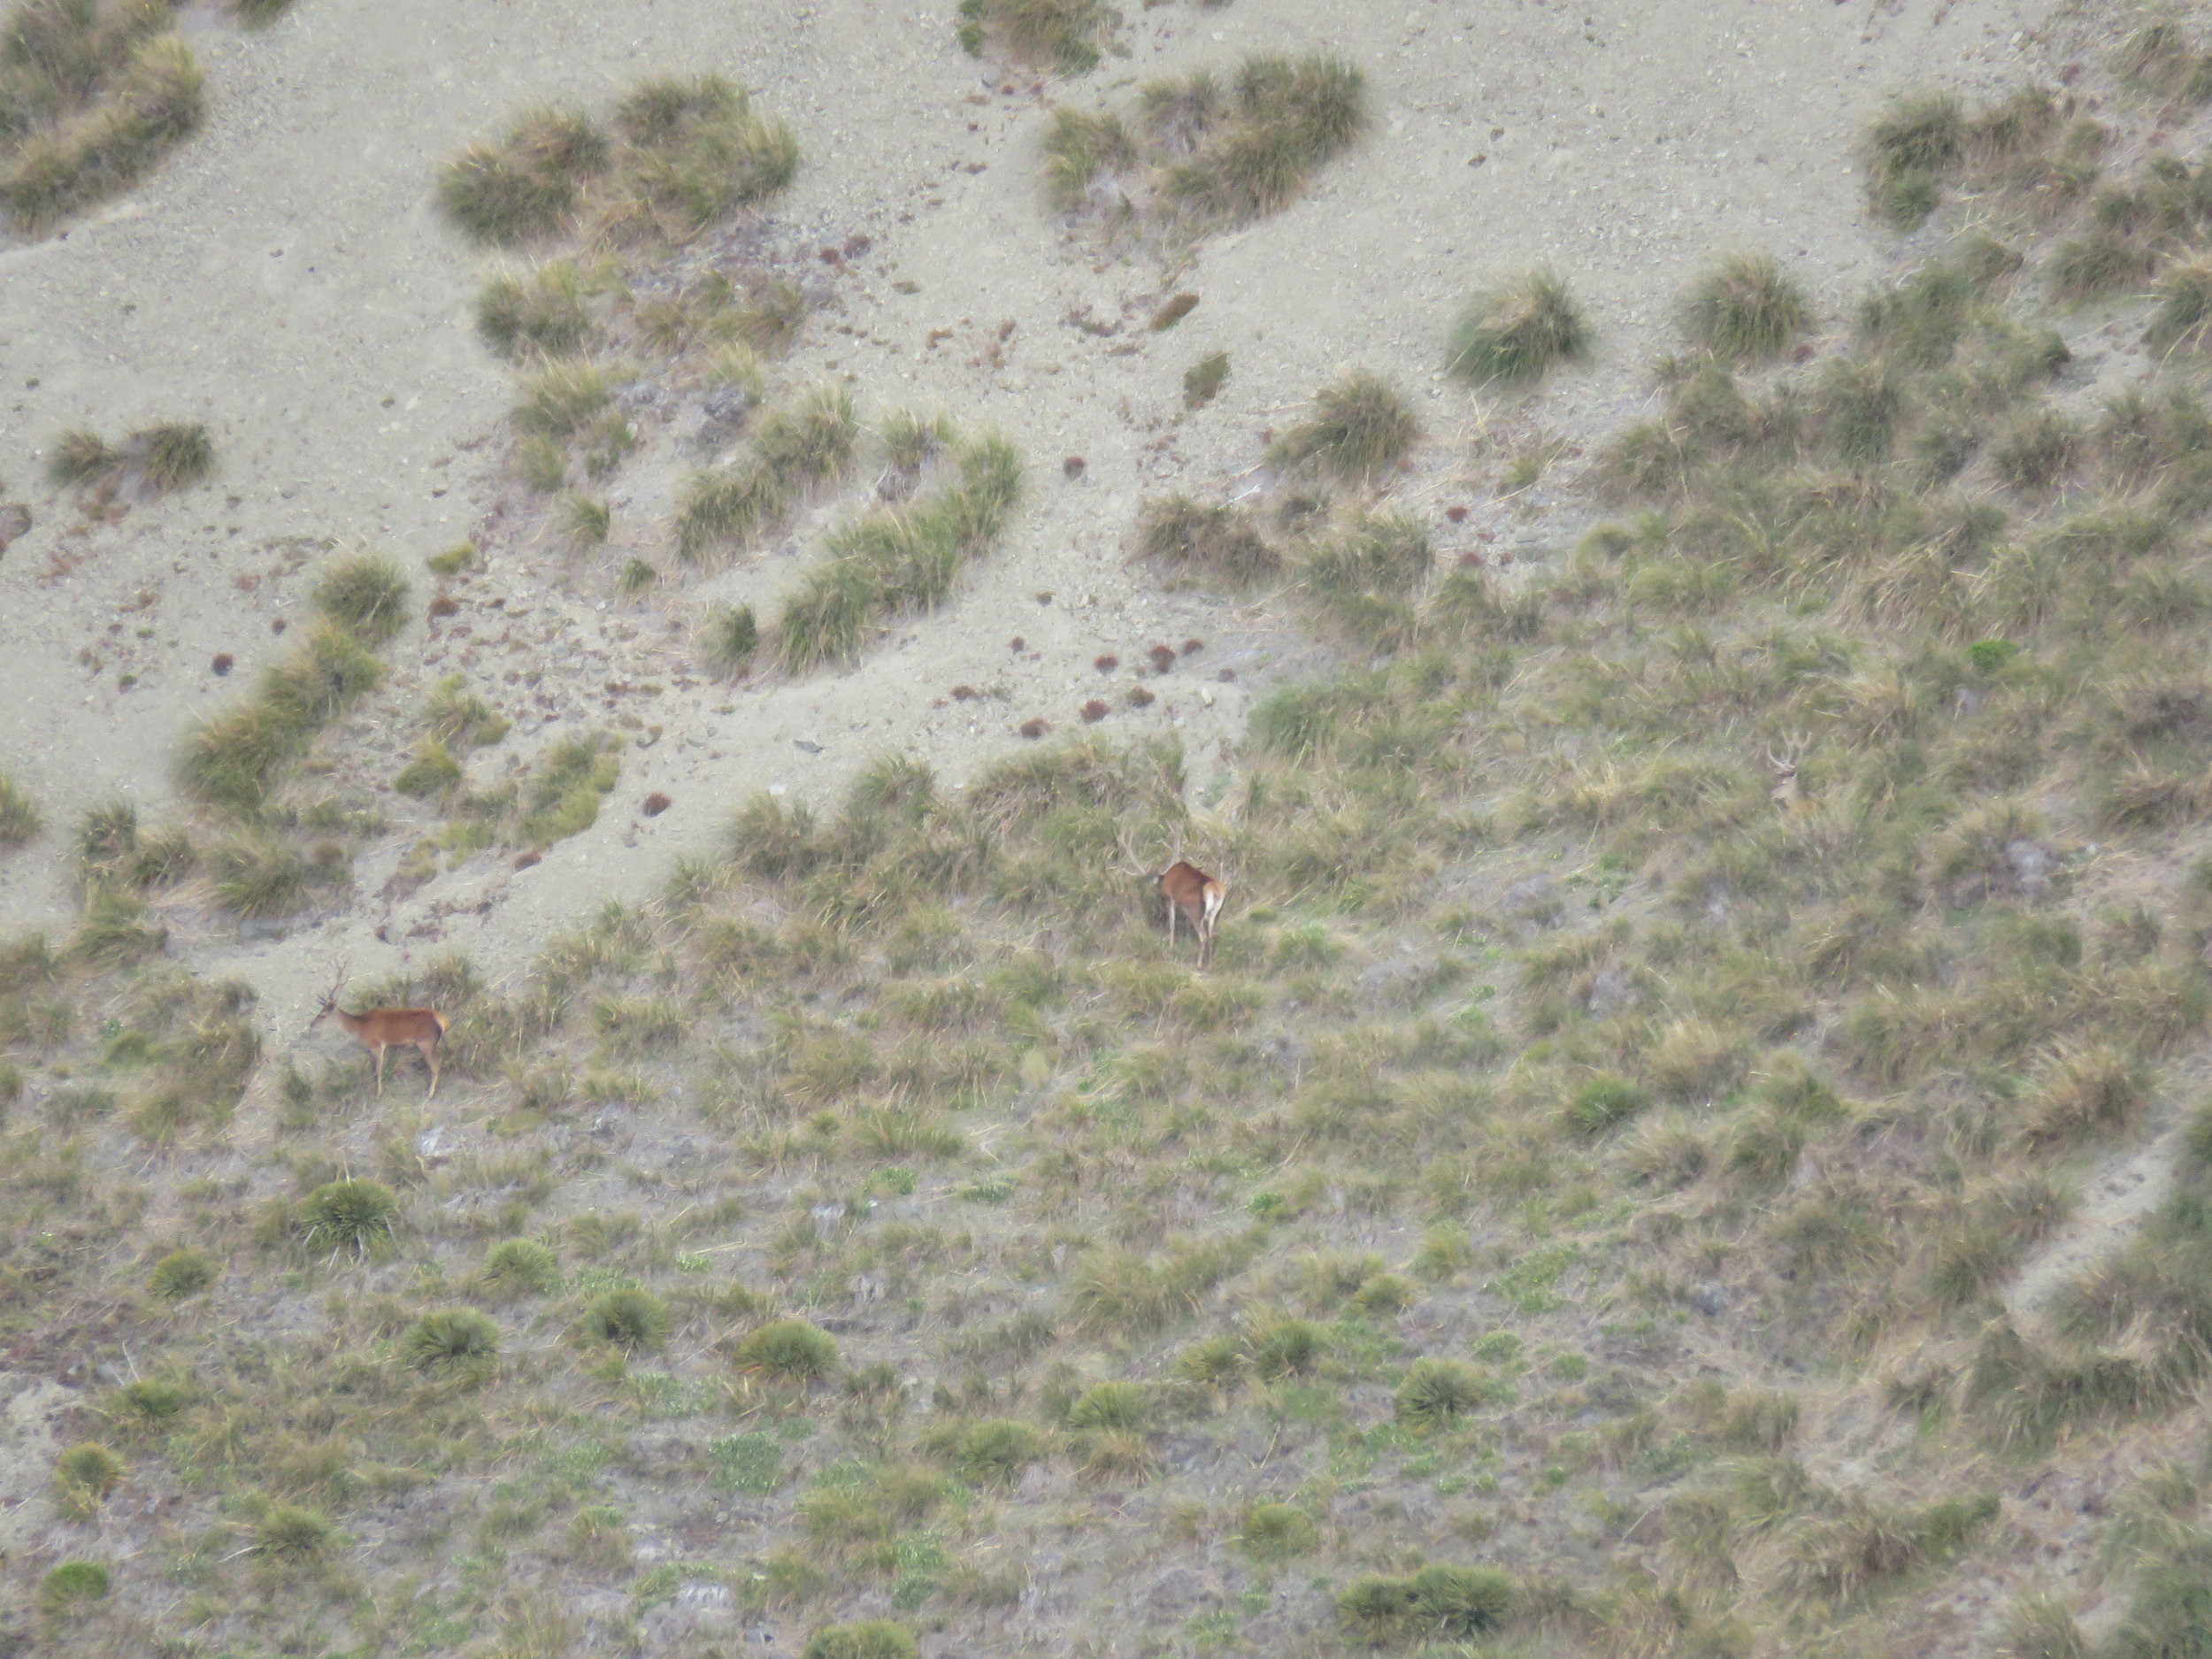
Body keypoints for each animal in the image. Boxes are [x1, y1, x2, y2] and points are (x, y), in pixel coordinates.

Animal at [311, 969, 449, 1097]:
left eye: (323, 1015)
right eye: (319, 1012)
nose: (312, 1024)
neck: (360, 1026)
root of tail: (442, 1020)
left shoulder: (377, 1044)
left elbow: (378, 1069)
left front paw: (379, 1092)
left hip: (425, 1042)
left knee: (436, 1065)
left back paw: (429, 1094)